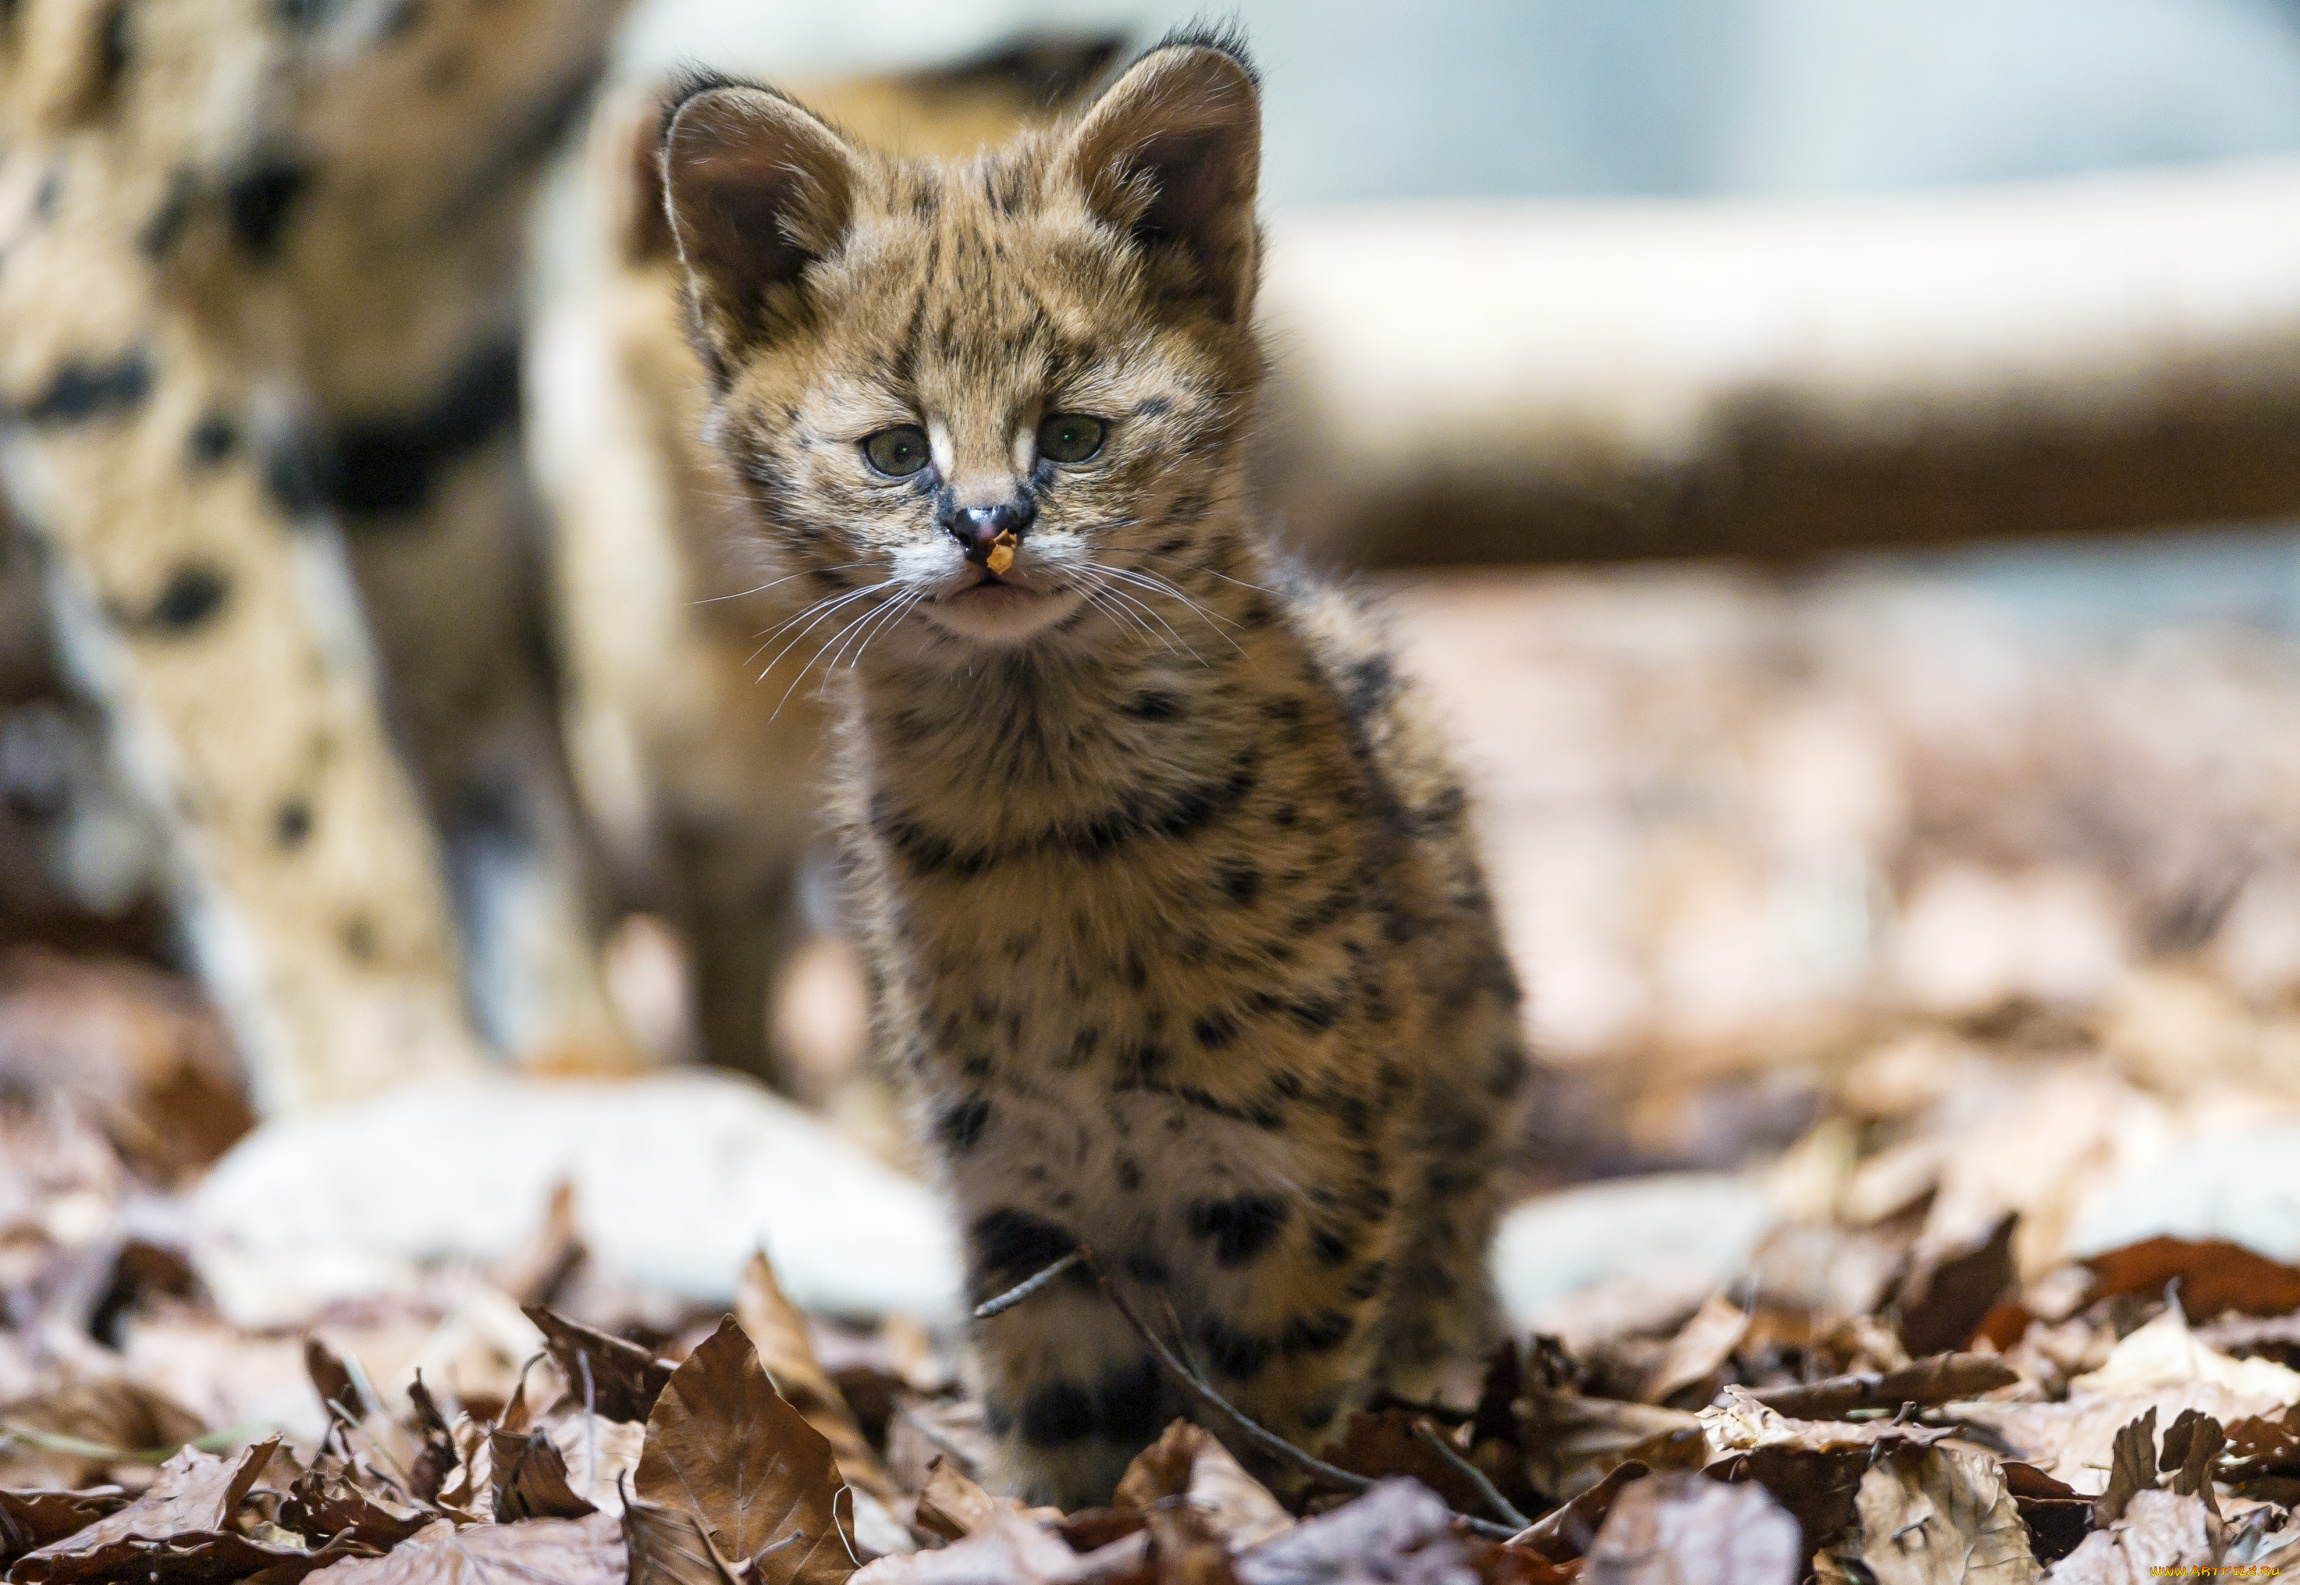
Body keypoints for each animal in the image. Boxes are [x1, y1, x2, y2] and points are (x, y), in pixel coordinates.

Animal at [662, 30, 1527, 1499]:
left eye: (1072, 433)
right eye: (894, 449)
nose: (987, 527)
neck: (1043, 810)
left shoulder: (1301, 1164)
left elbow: (1274, 1407)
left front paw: (1267, 1513)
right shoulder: (1013, 1184)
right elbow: (1057, 1416)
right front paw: (1054, 1522)